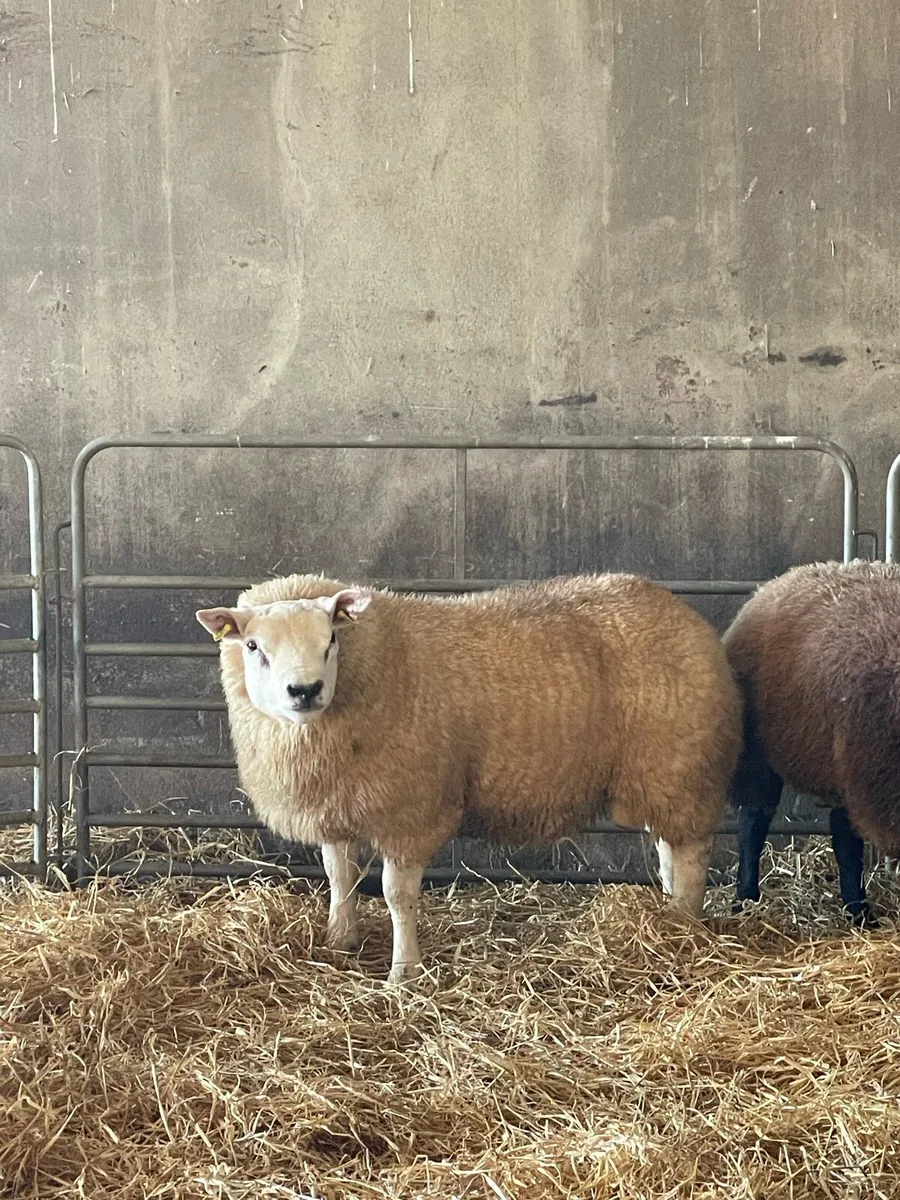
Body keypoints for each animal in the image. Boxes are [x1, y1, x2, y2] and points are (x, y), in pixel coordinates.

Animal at [196, 572, 742, 983]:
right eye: (252, 646)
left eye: (331, 639)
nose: (304, 690)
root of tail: (677, 608)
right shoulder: (338, 804)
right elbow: (340, 877)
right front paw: (339, 939)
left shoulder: (410, 810)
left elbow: (396, 896)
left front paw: (404, 972)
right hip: (664, 777)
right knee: (670, 850)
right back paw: (670, 914)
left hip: (679, 766)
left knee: (691, 855)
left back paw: (684, 928)